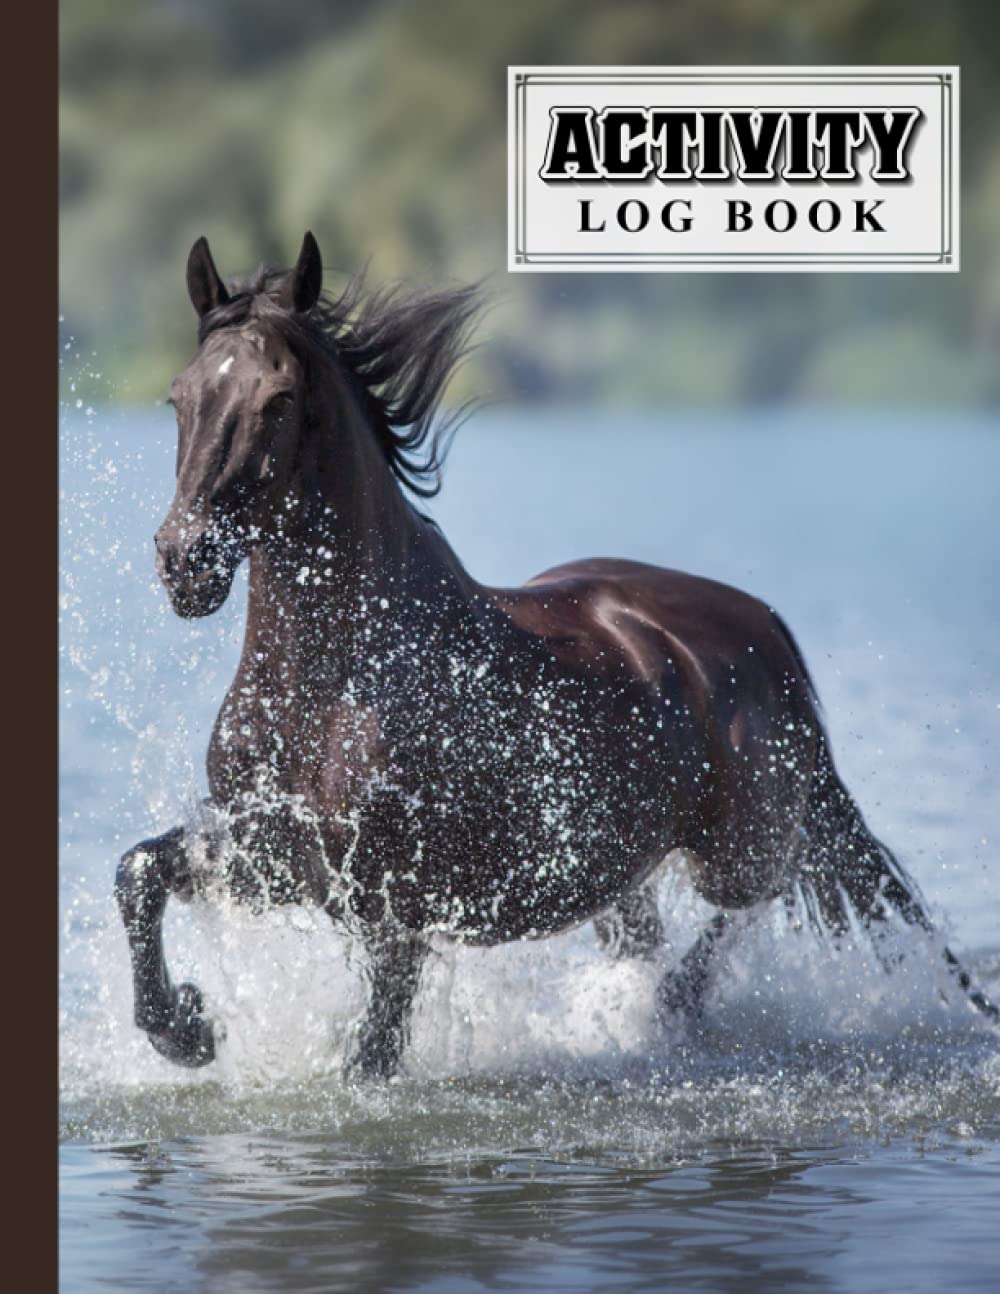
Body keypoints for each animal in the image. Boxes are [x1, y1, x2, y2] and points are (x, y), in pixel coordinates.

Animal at [115, 232, 998, 1077]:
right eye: (180, 397)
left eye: (278, 399)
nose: (185, 560)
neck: (329, 688)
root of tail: (766, 629)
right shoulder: (267, 855)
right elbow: (138, 871)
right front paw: (187, 1028)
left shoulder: (391, 911)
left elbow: (371, 1054)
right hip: (621, 871)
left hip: (741, 842)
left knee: (758, 898)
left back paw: (671, 1006)